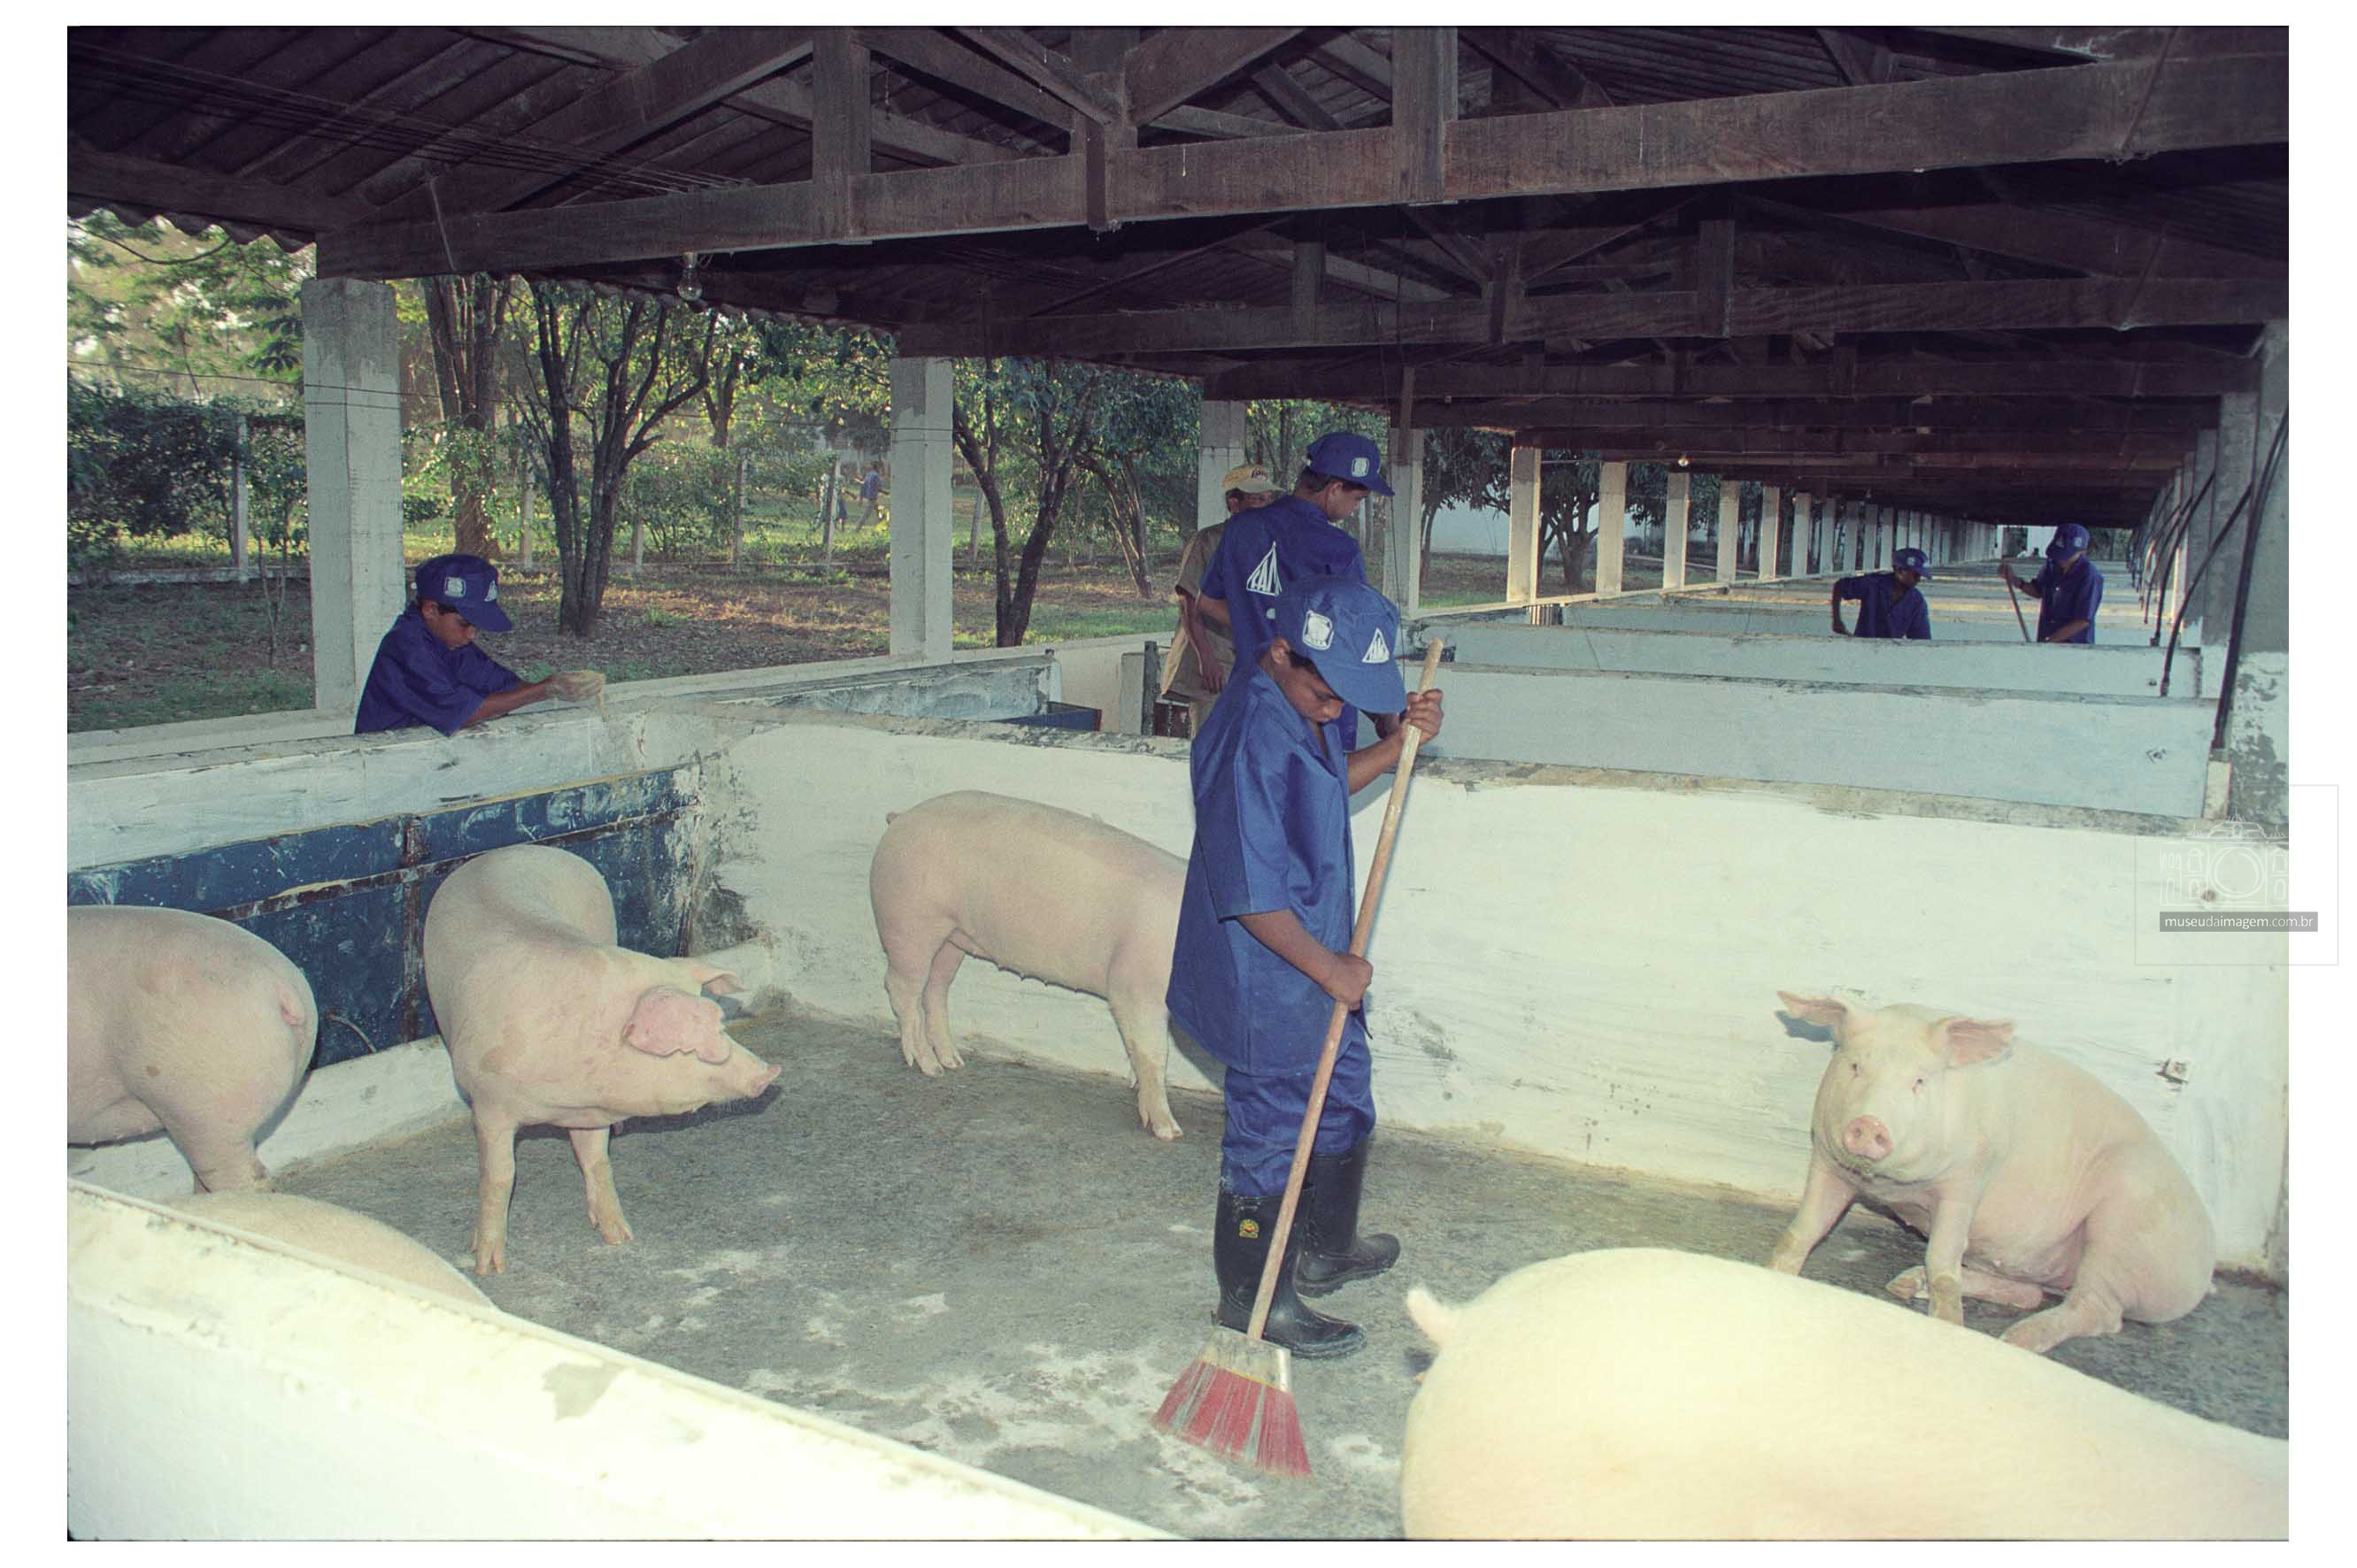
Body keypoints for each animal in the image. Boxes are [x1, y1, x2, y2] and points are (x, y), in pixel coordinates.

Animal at [423, 844, 780, 1274]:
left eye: (720, 1025)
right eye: (689, 1047)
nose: (769, 1072)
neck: (566, 1097)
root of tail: (522, 848)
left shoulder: (590, 1111)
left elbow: (596, 1160)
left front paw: (620, 1237)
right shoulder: (490, 1102)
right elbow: (501, 1176)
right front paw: (489, 1267)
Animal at [868, 790, 1184, 1140]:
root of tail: (901, 818)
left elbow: (1139, 1050)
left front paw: (1133, 1084)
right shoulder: (1133, 988)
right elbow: (1154, 1054)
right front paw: (1170, 1132)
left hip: (952, 937)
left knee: (935, 989)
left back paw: (953, 1061)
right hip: (908, 923)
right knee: (902, 989)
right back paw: (930, 1068)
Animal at [1767, 991, 2215, 1354]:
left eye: (1919, 1081)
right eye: (1856, 1066)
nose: (1869, 1124)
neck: (1895, 1187)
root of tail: (2205, 1263)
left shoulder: (1968, 1180)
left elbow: (1942, 1259)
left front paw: (1949, 1324)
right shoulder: (1827, 1159)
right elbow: (1804, 1230)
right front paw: (1774, 1274)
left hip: (2124, 1228)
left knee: (2099, 1310)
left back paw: (2014, 1340)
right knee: (2031, 1292)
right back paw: (1906, 1283)